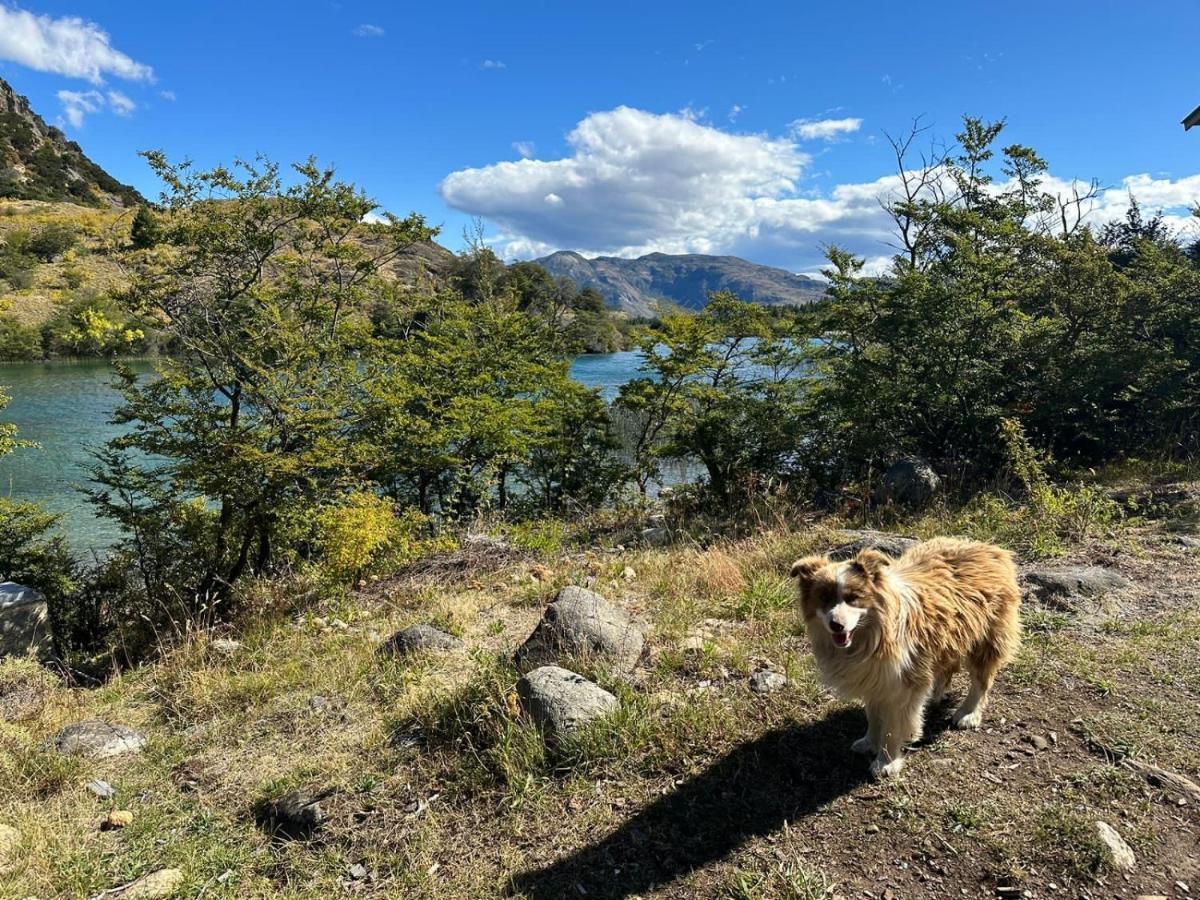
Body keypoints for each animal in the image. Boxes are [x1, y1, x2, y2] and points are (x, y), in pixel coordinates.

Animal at [787, 540, 1022, 777]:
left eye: (853, 597)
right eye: (824, 598)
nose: (836, 625)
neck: (874, 634)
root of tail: (991, 548)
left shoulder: (901, 685)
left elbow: (893, 727)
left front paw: (886, 762)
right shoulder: (873, 676)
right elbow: (873, 715)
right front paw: (869, 742)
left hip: (986, 639)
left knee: (981, 681)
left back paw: (968, 714)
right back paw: (934, 696)